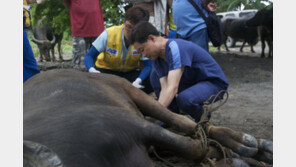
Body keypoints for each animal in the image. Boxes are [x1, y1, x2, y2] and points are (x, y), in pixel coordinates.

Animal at [23, 69, 272, 167]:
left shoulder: (128, 124)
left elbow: (191, 147)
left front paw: (231, 155)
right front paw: (229, 158)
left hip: (126, 88)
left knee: (185, 123)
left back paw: (247, 143)